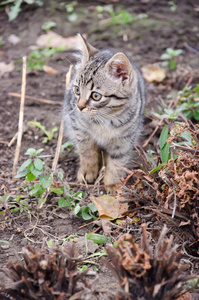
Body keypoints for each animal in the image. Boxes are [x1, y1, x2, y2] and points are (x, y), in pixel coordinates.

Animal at [63, 33, 145, 192]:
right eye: (77, 89)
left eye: (96, 96)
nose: (79, 107)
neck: (105, 119)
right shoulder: (79, 129)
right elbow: (87, 152)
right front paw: (88, 171)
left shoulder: (124, 140)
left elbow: (118, 163)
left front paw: (113, 184)